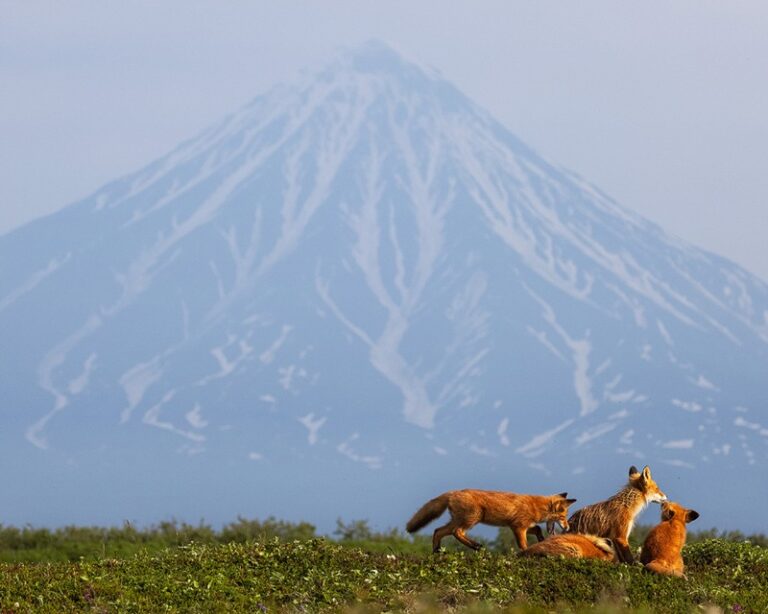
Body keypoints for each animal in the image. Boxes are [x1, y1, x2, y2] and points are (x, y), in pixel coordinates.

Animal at [402, 490, 576, 552]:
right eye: (563, 517)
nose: (568, 528)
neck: (536, 507)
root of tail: (452, 492)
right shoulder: (518, 527)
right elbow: (523, 545)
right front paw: (526, 553)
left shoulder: (521, 526)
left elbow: (538, 529)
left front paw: (541, 540)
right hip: (473, 518)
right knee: (456, 532)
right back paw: (475, 545)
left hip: (459, 520)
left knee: (438, 531)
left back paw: (437, 551)